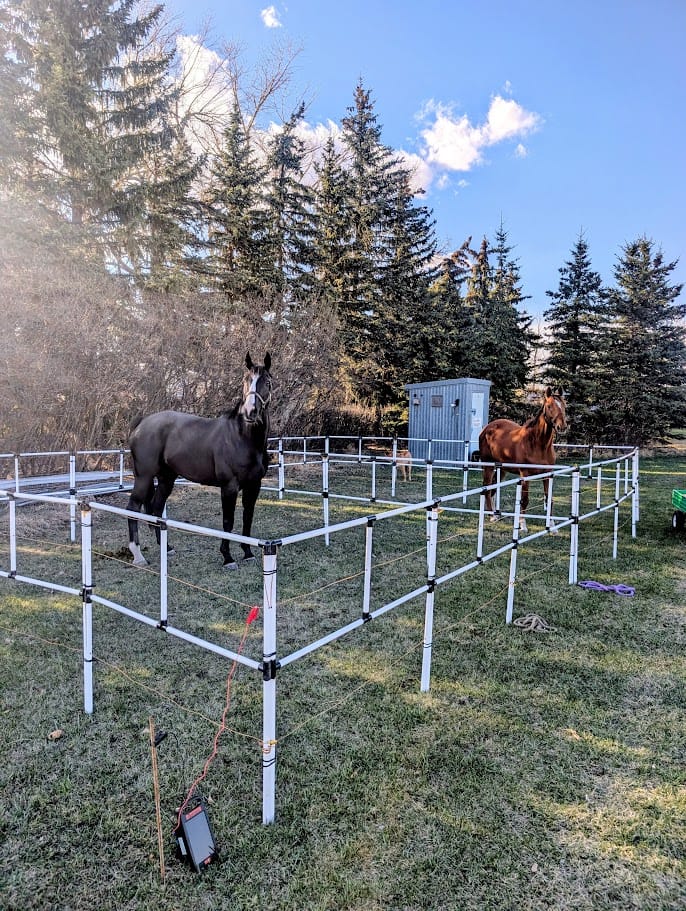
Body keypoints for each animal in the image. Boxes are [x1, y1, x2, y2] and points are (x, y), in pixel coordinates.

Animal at [126, 352, 272, 568]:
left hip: (166, 479)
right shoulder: (229, 487)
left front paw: (247, 553)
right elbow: (228, 522)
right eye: (245, 380)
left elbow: (247, 518)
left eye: (267, 382)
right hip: (143, 477)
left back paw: (167, 549)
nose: (250, 412)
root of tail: (142, 422)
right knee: (133, 508)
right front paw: (228, 558)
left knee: (157, 508)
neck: (242, 438)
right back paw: (138, 555)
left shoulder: (254, 485)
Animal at [477, 387, 567, 532]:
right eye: (549, 406)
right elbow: (525, 499)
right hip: (488, 465)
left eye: (564, 405)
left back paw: (496, 513)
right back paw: (492, 516)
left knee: (493, 487)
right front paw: (523, 525)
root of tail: (486, 428)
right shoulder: (525, 474)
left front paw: (553, 527)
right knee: (487, 487)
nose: (562, 427)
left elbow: (549, 499)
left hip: (502, 468)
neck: (538, 444)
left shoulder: (548, 474)